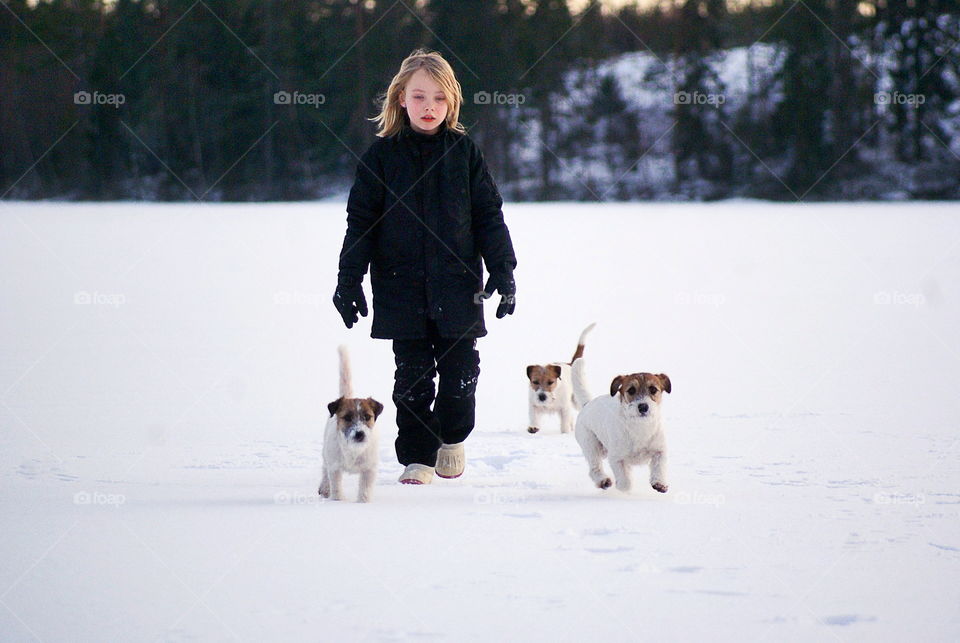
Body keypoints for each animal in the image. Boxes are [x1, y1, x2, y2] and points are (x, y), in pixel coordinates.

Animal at [320, 348, 384, 504]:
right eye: (347, 417)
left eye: (367, 417)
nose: (359, 434)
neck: (354, 450)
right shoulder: (335, 468)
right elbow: (336, 486)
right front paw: (338, 501)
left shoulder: (369, 470)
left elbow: (365, 489)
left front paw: (363, 502)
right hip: (326, 454)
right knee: (324, 469)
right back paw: (324, 488)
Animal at [572, 354, 672, 496]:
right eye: (631, 390)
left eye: (653, 389)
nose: (643, 407)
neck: (640, 427)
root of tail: (588, 403)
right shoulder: (616, 458)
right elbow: (626, 483)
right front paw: (621, 486)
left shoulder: (659, 451)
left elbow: (659, 468)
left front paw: (659, 483)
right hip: (591, 445)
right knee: (594, 467)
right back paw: (603, 481)